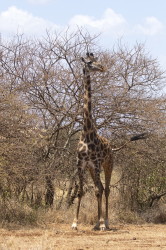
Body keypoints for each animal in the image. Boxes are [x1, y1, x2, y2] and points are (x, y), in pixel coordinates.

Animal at [71, 52, 147, 230]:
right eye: (90, 63)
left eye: (96, 60)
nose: (102, 67)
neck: (86, 133)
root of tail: (113, 148)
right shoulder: (81, 163)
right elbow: (81, 191)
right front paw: (75, 223)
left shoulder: (97, 163)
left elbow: (99, 190)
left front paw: (101, 223)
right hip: (92, 169)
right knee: (99, 188)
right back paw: (97, 223)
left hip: (108, 165)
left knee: (105, 189)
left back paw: (105, 222)